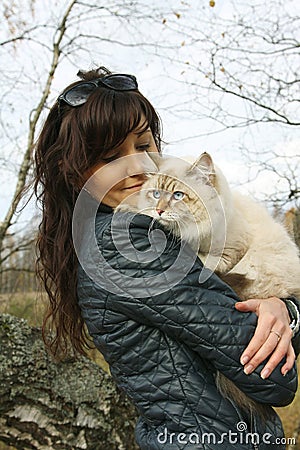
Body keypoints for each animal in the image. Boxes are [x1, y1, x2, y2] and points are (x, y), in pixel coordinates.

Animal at [115, 151, 300, 418]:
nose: (159, 211)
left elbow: (193, 251)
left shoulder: (226, 252)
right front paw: (131, 209)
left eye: (178, 196)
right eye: (156, 194)